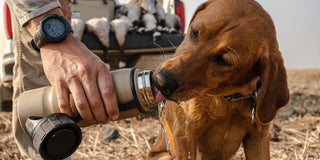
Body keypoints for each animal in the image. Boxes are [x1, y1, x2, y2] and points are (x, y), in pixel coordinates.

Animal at [148, 0, 290, 160]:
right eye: (194, 32)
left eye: (223, 60)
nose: (161, 81)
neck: (230, 100)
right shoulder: (185, 134)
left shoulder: (258, 137)